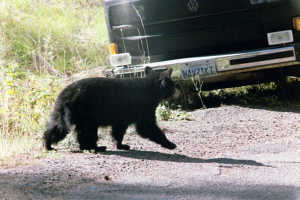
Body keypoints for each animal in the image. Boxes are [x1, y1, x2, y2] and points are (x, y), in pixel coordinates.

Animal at [42, 68, 178, 152]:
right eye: (173, 85)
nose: (177, 92)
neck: (151, 89)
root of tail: (65, 93)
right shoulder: (143, 108)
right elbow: (147, 127)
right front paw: (170, 144)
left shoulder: (123, 115)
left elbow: (119, 129)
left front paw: (121, 145)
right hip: (86, 112)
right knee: (86, 131)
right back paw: (95, 147)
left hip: (63, 111)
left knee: (58, 126)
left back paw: (48, 144)